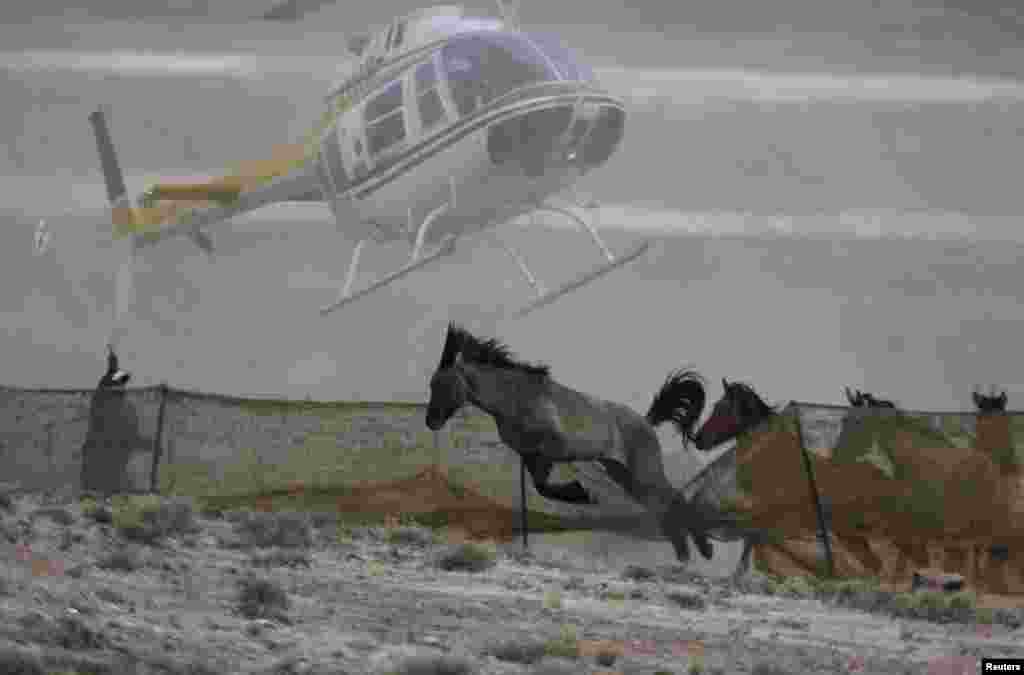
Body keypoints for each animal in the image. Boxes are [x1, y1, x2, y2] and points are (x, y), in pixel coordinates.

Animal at [423, 325, 720, 565]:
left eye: (443, 384)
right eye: (432, 384)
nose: (430, 421)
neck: (517, 398)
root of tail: (646, 421)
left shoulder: (551, 448)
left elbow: (546, 483)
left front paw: (582, 492)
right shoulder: (531, 455)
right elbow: (543, 488)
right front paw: (582, 493)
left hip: (644, 472)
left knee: (674, 498)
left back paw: (703, 549)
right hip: (625, 475)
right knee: (663, 506)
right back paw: (684, 553)